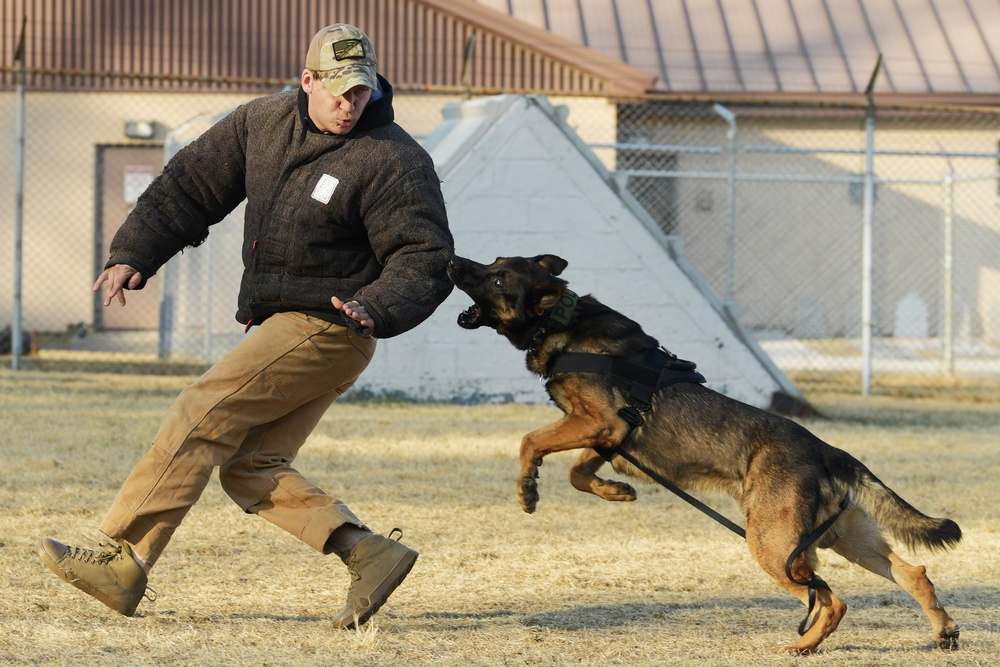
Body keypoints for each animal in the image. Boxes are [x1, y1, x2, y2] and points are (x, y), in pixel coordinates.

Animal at [446, 253, 960, 656]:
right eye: (492, 262)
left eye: (497, 278)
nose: (451, 261)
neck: (562, 320)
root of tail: (828, 451)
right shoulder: (607, 436)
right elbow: (577, 471)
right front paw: (616, 491)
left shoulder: (600, 423)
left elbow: (530, 441)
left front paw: (527, 489)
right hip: (844, 540)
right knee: (913, 573)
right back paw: (944, 631)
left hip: (772, 545)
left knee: (832, 600)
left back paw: (802, 645)